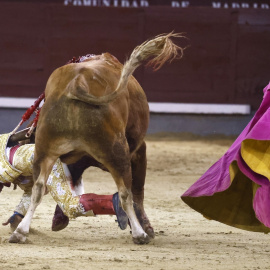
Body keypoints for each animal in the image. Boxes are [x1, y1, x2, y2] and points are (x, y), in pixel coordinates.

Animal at [9, 33, 185, 245]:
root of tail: (77, 82)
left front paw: (59, 218)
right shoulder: (139, 150)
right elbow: (137, 192)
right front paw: (146, 228)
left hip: (44, 150)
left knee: (38, 187)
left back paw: (20, 231)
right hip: (118, 154)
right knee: (125, 193)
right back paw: (139, 234)